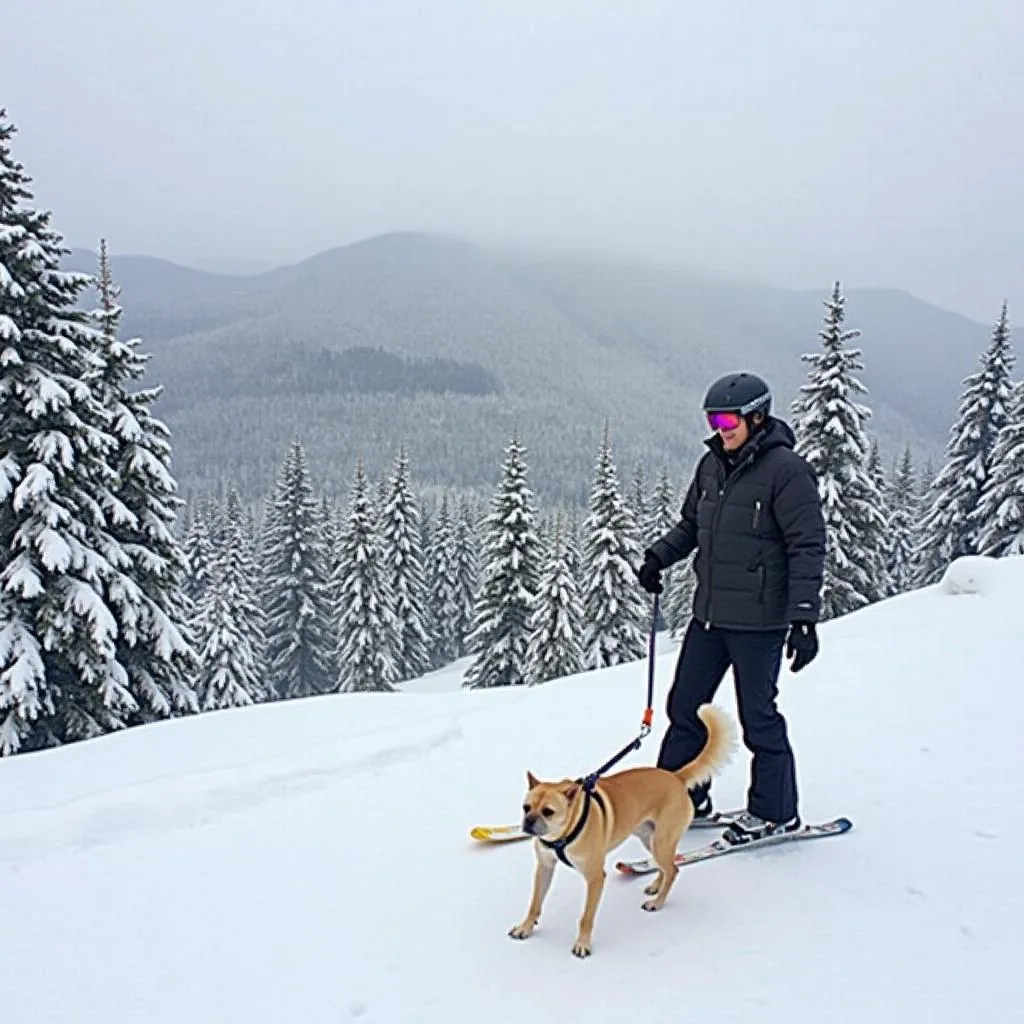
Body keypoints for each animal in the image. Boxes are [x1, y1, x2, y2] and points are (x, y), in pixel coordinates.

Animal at [505, 700, 733, 954]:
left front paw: (582, 943)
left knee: (673, 870)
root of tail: (675, 777)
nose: (528, 822)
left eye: (548, 812)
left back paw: (657, 902)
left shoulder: (595, 877)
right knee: (665, 867)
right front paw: (525, 927)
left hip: (662, 840)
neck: (562, 835)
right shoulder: (544, 867)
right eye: (526, 807)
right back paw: (655, 886)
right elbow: (535, 903)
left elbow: (586, 917)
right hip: (650, 838)